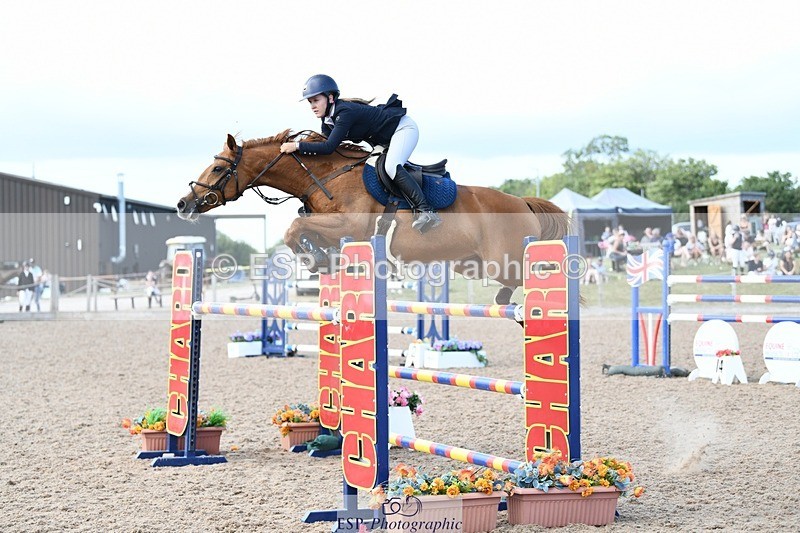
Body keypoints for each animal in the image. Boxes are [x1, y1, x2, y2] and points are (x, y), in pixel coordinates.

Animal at [176, 130, 570, 305]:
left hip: (502, 261)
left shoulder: (350, 226)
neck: (326, 175)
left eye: (217, 168)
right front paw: (321, 259)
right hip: (472, 264)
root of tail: (522, 202)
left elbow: (294, 227)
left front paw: (316, 260)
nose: (183, 203)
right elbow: (301, 230)